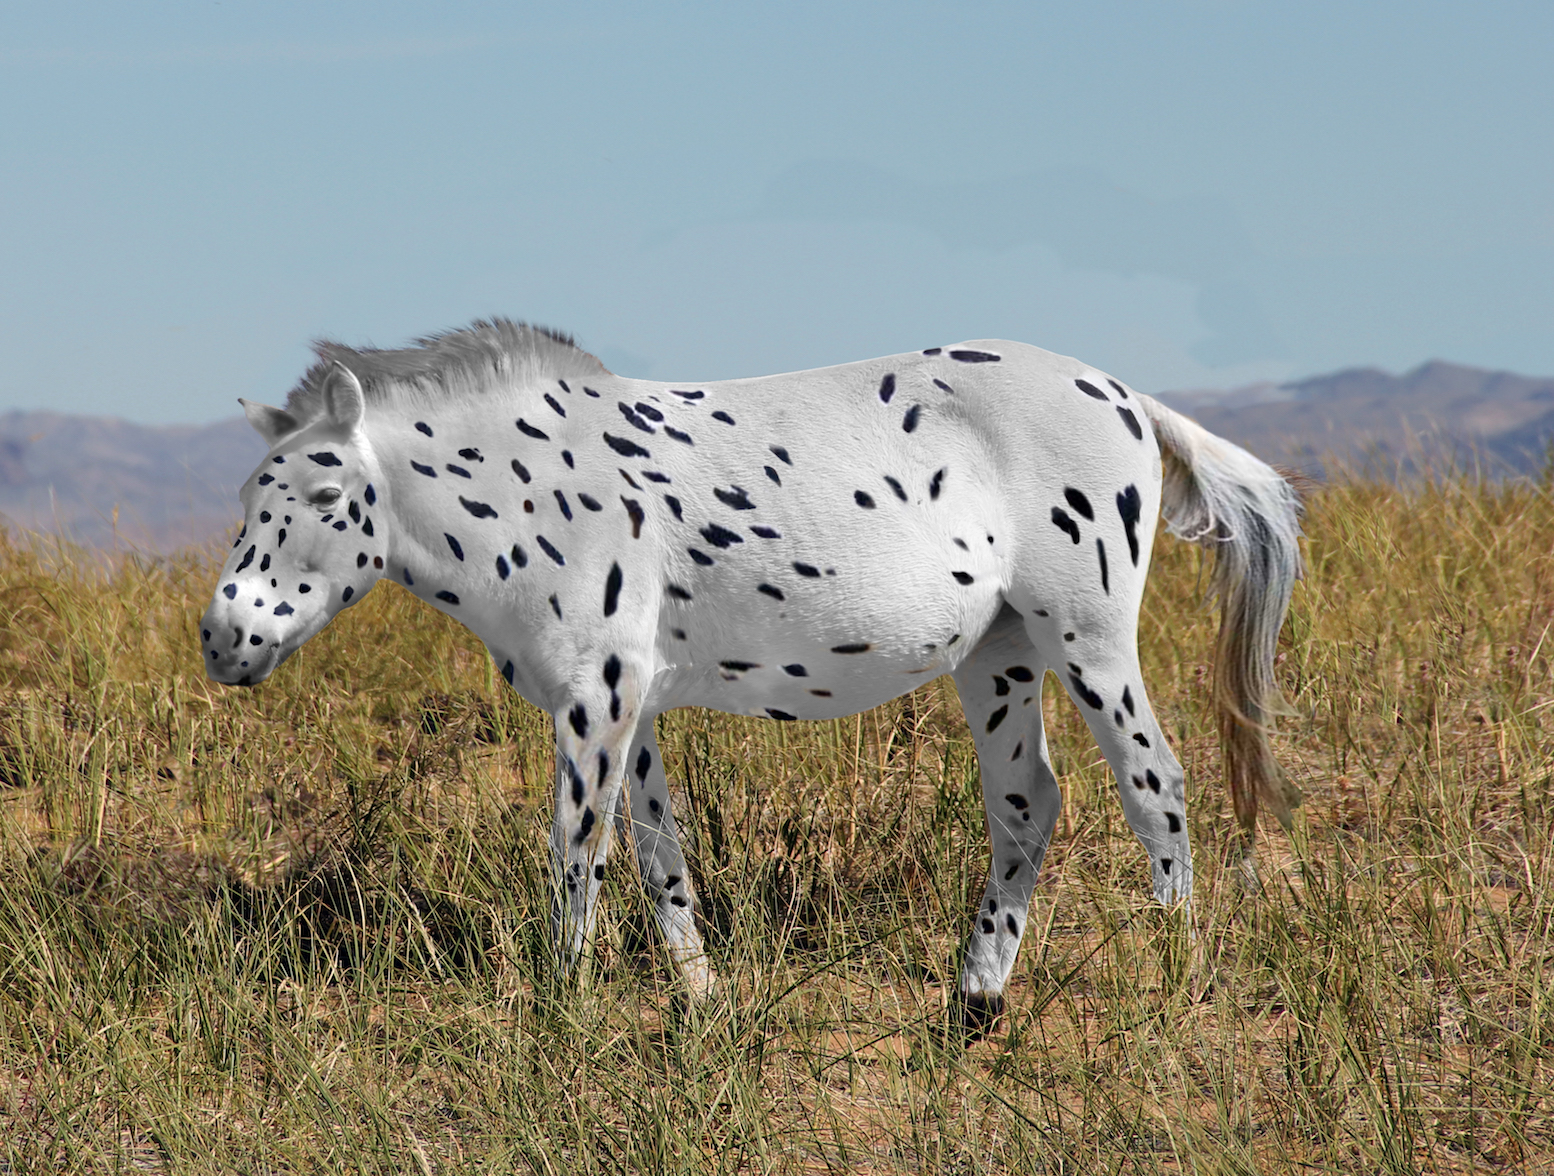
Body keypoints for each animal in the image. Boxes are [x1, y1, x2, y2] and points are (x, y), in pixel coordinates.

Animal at [200, 318, 1302, 1030]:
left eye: (326, 493)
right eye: (251, 493)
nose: (223, 637)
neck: (539, 485)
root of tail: (1126, 398)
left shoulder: (594, 701)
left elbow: (576, 851)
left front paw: (562, 1013)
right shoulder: (628, 706)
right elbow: (660, 858)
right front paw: (702, 1002)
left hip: (1089, 640)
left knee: (1156, 787)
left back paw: (1178, 980)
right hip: (999, 657)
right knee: (1029, 802)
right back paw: (976, 1000)